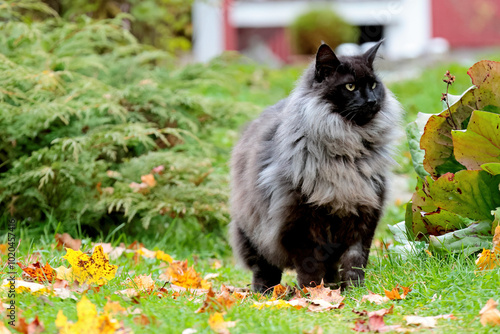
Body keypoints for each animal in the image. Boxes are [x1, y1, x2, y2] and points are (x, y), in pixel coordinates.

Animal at [229, 41, 400, 292]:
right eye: (350, 86)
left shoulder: (364, 216)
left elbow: (355, 261)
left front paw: (354, 292)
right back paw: (265, 293)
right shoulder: (300, 222)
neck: (346, 155)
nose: (372, 101)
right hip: (254, 234)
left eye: (373, 85)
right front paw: (313, 294)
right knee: (264, 269)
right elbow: (310, 266)